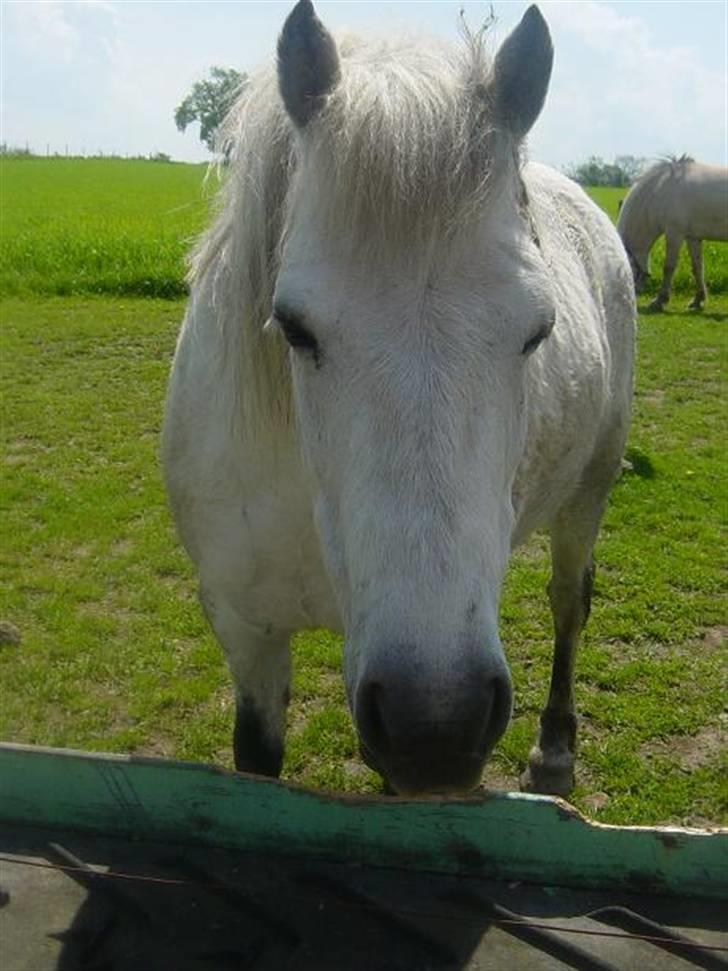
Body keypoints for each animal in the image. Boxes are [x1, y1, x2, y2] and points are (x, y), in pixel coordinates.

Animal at [162, 1, 636, 796]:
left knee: (570, 601)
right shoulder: (246, 631)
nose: (439, 722)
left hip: (589, 491)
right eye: (293, 326)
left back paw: (554, 753)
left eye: (539, 330)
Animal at [616, 158, 728, 312]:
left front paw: (659, 300)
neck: (660, 189)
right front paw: (698, 300)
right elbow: (697, 267)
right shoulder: (692, 237)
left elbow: (668, 267)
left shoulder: (674, 234)